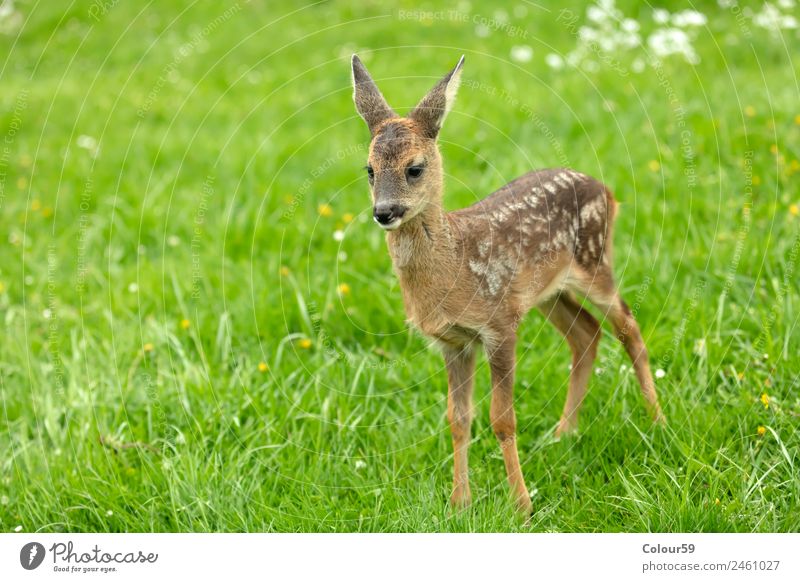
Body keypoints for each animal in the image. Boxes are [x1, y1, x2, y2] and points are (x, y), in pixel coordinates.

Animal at [350, 53, 664, 512]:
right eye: (370, 170)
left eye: (414, 168)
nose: (384, 211)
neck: (454, 265)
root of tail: (605, 189)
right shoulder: (454, 341)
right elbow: (458, 418)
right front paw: (459, 502)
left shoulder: (498, 325)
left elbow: (502, 419)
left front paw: (522, 506)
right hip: (548, 292)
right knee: (586, 333)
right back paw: (563, 433)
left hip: (594, 263)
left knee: (629, 326)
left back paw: (657, 420)